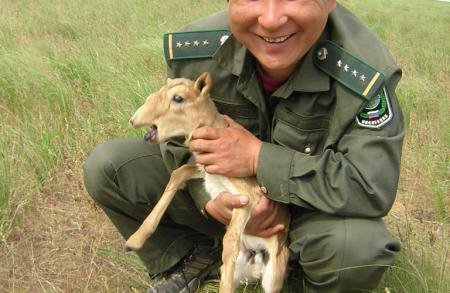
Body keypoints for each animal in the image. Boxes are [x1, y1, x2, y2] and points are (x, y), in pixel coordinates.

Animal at [125, 71, 290, 292]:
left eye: (178, 98)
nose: (133, 119)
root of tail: (257, 261)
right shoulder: (204, 171)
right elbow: (178, 172)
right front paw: (134, 240)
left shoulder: (247, 197)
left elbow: (229, 240)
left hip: (273, 276)